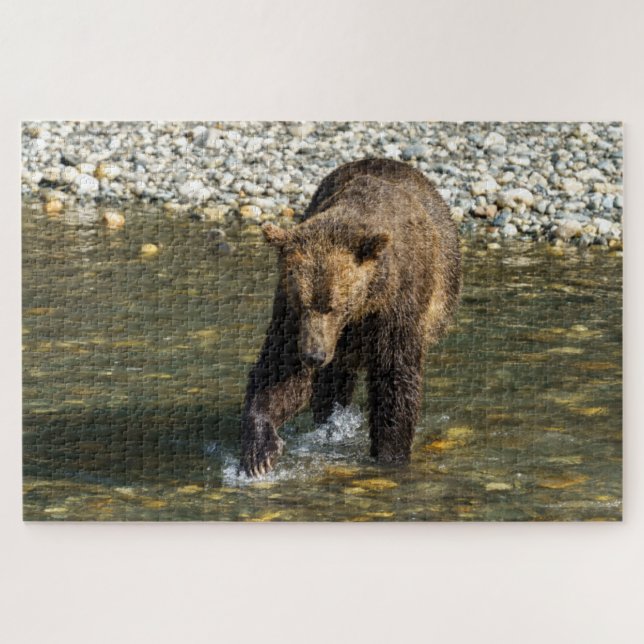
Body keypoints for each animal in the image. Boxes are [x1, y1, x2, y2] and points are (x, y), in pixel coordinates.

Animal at [239, 158, 461, 477]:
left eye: (333, 305)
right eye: (303, 304)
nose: (313, 355)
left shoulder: (397, 303)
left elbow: (394, 376)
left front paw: (390, 455)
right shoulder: (290, 313)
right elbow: (280, 369)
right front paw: (260, 452)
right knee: (331, 384)